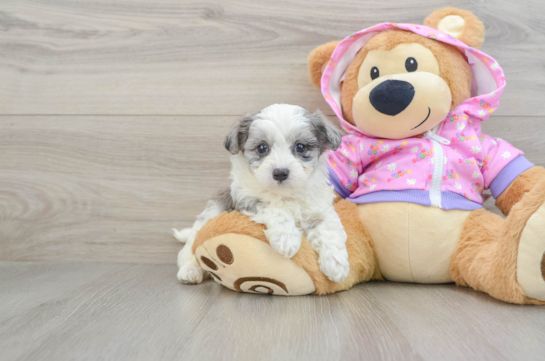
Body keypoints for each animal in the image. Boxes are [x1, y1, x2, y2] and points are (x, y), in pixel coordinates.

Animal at [173, 103, 348, 284]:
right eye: (262, 148)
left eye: (300, 147)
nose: (280, 173)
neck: (285, 193)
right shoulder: (246, 199)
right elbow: (275, 209)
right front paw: (286, 238)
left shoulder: (320, 208)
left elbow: (330, 229)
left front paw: (336, 264)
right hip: (204, 224)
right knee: (189, 254)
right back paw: (190, 271)